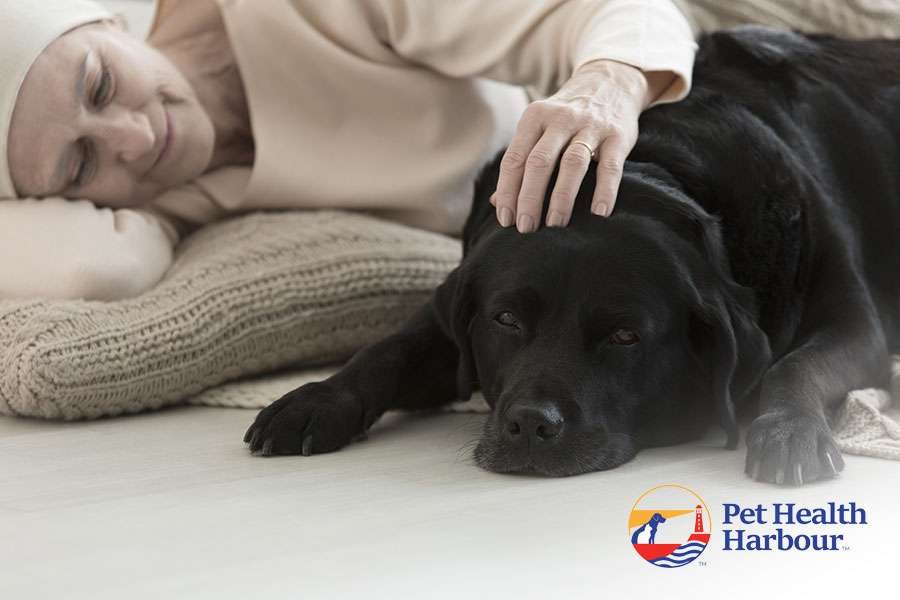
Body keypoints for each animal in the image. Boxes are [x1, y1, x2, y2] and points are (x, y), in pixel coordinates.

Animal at [244, 26, 900, 485]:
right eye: (506, 320)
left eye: (626, 336)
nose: (532, 424)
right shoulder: (454, 312)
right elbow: (389, 349)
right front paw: (316, 399)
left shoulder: (858, 330)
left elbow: (795, 366)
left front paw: (790, 430)